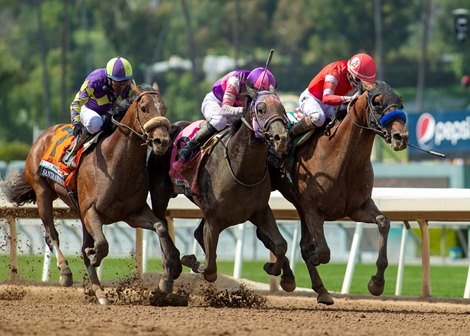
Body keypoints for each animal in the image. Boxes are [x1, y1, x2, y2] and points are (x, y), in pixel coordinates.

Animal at [1, 82, 182, 304]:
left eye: (164, 108)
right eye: (144, 108)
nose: (161, 142)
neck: (117, 163)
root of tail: (43, 136)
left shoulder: (133, 213)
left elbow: (161, 227)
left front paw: (167, 278)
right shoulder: (92, 211)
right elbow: (102, 245)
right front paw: (94, 255)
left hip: (78, 210)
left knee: (81, 245)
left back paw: (100, 293)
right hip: (43, 192)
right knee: (51, 236)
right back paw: (65, 272)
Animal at [151, 87, 296, 292]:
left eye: (283, 109)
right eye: (261, 110)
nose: (281, 138)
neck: (241, 170)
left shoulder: (259, 211)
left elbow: (281, 244)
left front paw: (277, 271)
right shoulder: (213, 218)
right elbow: (210, 267)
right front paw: (190, 260)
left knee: (192, 232)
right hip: (160, 194)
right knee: (161, 223)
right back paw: (170, 271)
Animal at [270, 80, 410, 304]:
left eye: (400, 100)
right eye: (377, 102)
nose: (401, 137)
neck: (341, 158)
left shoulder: (357, 208)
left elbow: (383, 222)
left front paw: (376, 283)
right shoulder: (313, 210)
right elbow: (322, 252)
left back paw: (319, 290)